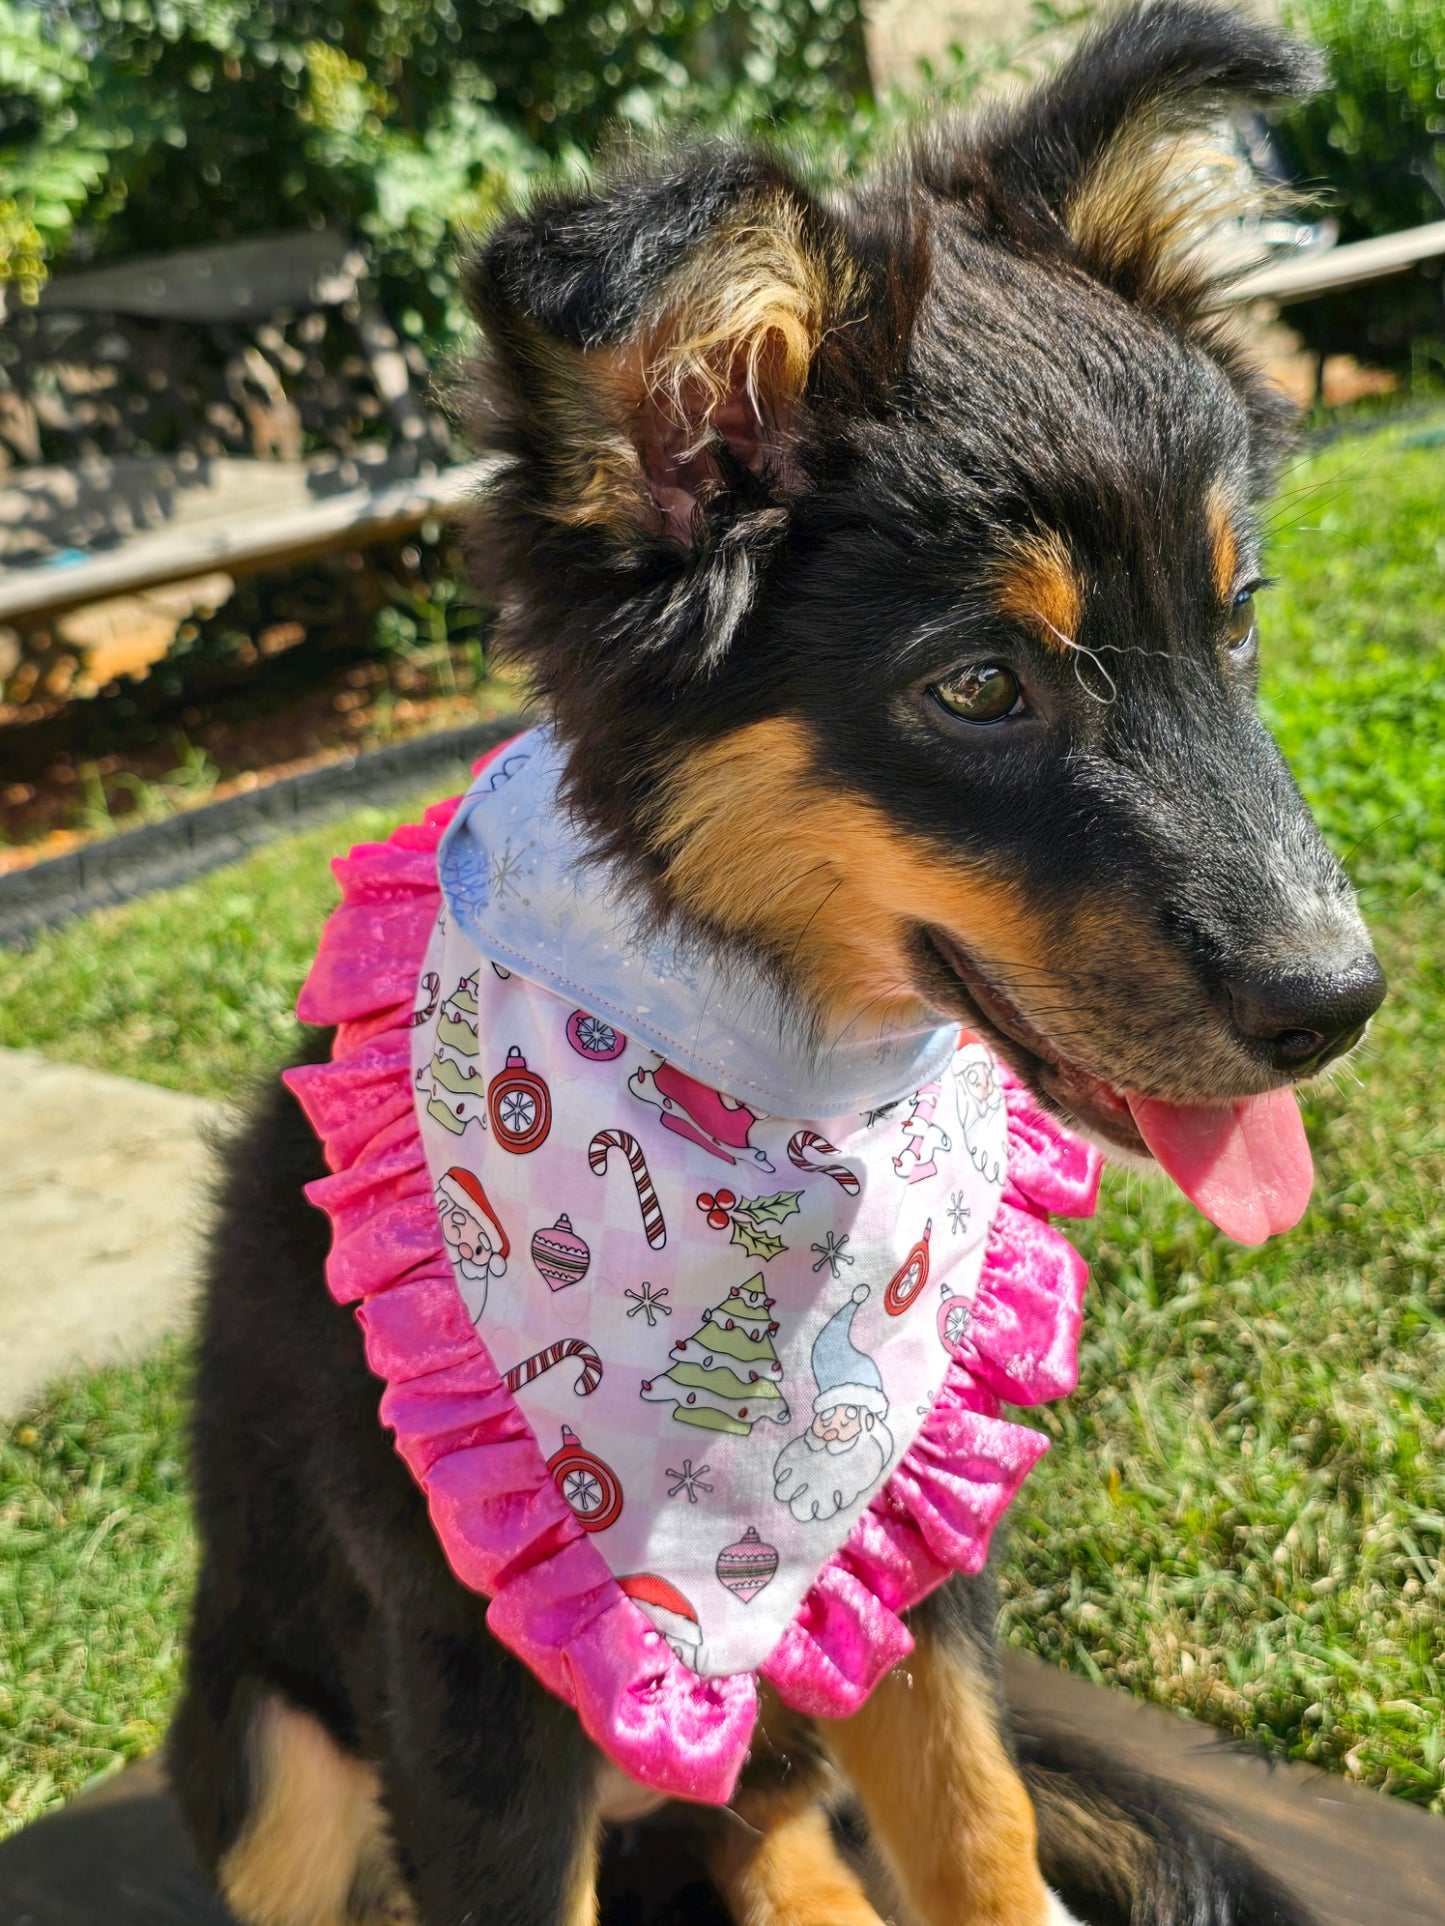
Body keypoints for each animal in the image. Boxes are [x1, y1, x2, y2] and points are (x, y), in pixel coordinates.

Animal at [163, 7, 1387, 1918]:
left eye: (1237, 611)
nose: (1342, 1003)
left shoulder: (902, 1554)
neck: (777, 1075)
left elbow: (981, 1824)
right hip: (276, 1743)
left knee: (777, 1821)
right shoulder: (462, 1684)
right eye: (979, 685)